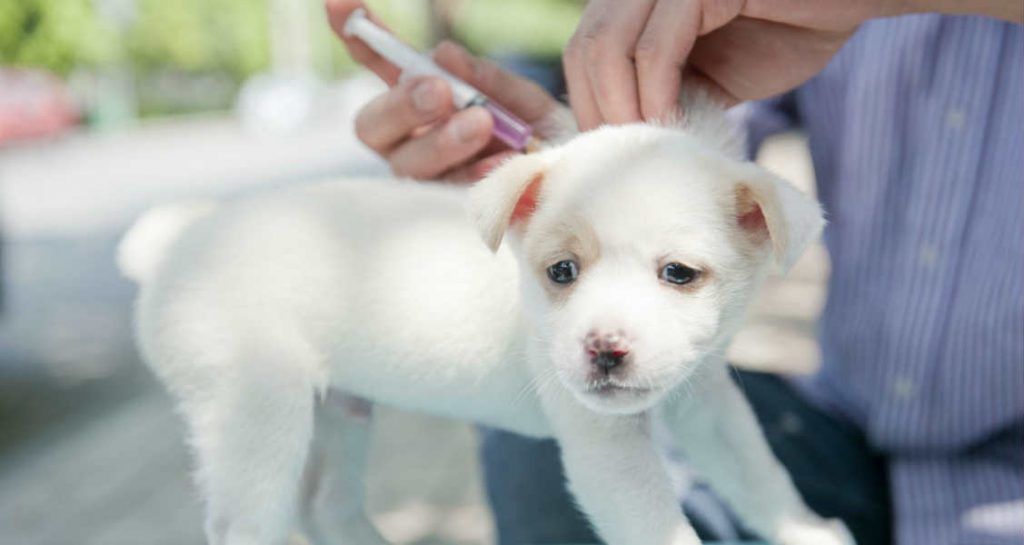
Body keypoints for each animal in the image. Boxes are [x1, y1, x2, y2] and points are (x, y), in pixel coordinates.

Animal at [117, 103, 856, 545]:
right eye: (562, 271)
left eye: (678, 273)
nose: (603, 350)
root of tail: (178, 243)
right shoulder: (608, 451)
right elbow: (665, 529)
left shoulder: (710, 405)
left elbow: (761, 479)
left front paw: (811, 532)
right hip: (256, 417)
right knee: (251, 522)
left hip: (337, 413)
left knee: (325, 505)